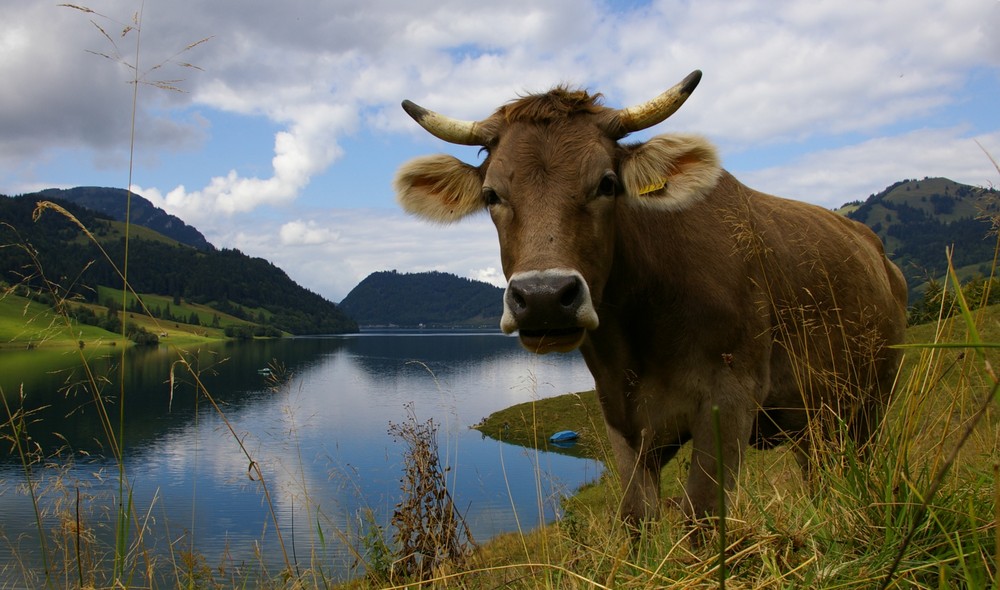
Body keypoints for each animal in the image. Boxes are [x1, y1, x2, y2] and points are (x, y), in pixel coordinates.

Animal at [394, 70, 912, 528]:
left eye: (607, 183)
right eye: (491, 195)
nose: (543, 298)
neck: (637, 341)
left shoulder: (731, 399)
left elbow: (701, 515)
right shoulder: (620, 414)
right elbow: (635, 515)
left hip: (871, 402)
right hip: (817, 418)